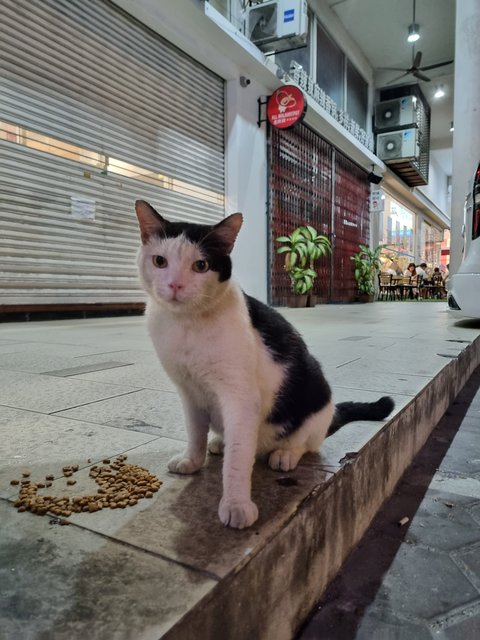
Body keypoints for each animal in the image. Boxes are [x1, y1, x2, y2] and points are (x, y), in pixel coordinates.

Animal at [135, 201, 394, 528]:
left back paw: (284, 454)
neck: (186, 325)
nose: (175, 285)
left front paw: (236, 504)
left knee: (305, 442)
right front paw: (192, 460)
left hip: (316, 397)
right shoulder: (189, 391)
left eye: (201, 266)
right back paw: (218, 442)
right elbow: (195, 431)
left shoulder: (240, 398)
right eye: (160, 261)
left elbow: (238, 459)